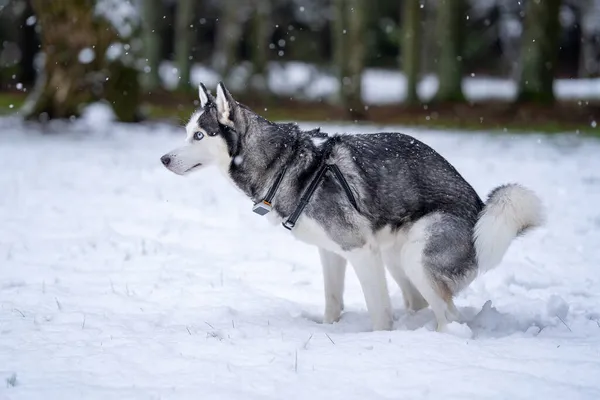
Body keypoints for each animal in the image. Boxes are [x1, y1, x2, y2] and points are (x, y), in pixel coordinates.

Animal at [161, 82, 544, 332]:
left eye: (199, 135)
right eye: (187, 132)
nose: (163, 159)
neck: (285, 163)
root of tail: (479, 208)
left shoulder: (360, 250)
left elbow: (379, 313)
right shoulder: (332, 253)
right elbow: (333, 300)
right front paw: (330, 328)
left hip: (415, 258)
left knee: (450, 317)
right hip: (394, 256)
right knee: (423, 305)